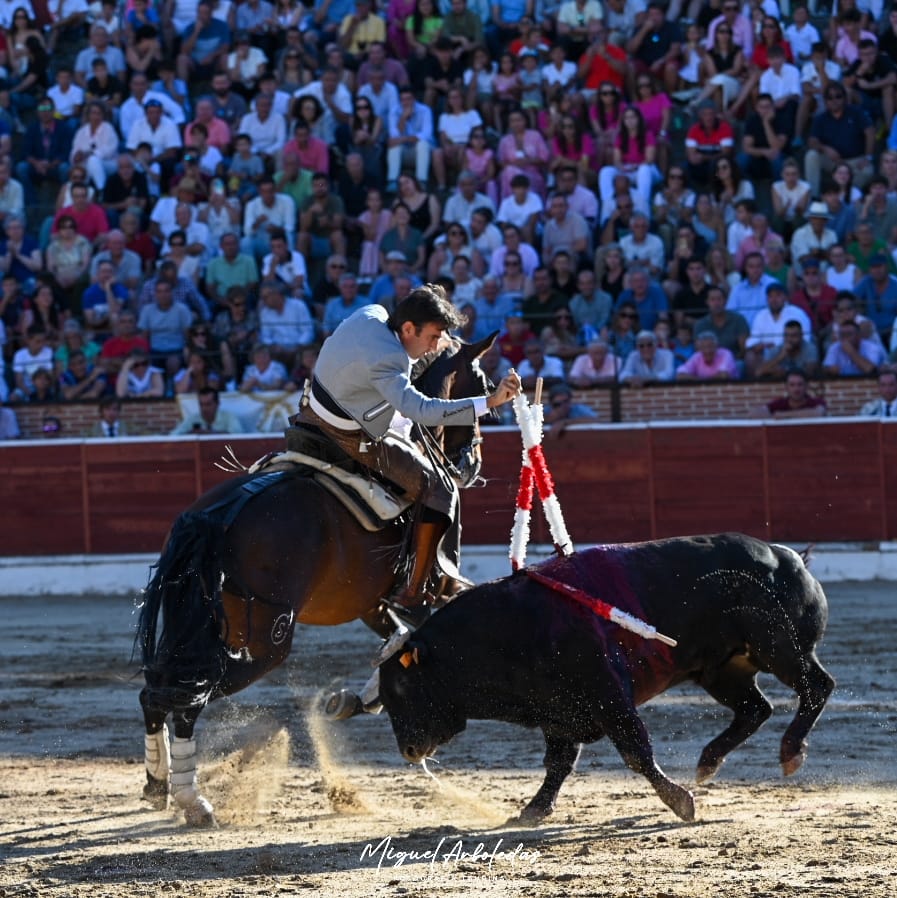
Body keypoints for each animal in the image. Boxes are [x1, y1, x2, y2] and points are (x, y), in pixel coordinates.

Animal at [134, 336, 496, 824]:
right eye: (482, 384)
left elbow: (396, 638)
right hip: (268, 640)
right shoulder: (423, 592)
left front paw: (360, 698)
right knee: (186, 696)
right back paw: (195, 802)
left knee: (156, 688)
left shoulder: (371, 603)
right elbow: (413, 628)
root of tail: (214, 517)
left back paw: (158, 784)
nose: (472, 462)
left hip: (202, 623)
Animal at [372, 532, 832, 820]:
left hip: (780, 650)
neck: (507, 631)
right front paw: (533, 811)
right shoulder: (559, 713)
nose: (408, 750)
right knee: (756, 709)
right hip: (721, 671)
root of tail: (787, 556)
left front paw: (680, 803)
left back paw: (790, 752)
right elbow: (557, 764)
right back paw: (708, 763)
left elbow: (635, 753)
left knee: (816, 687)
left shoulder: (609, 697)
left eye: (402, 686)